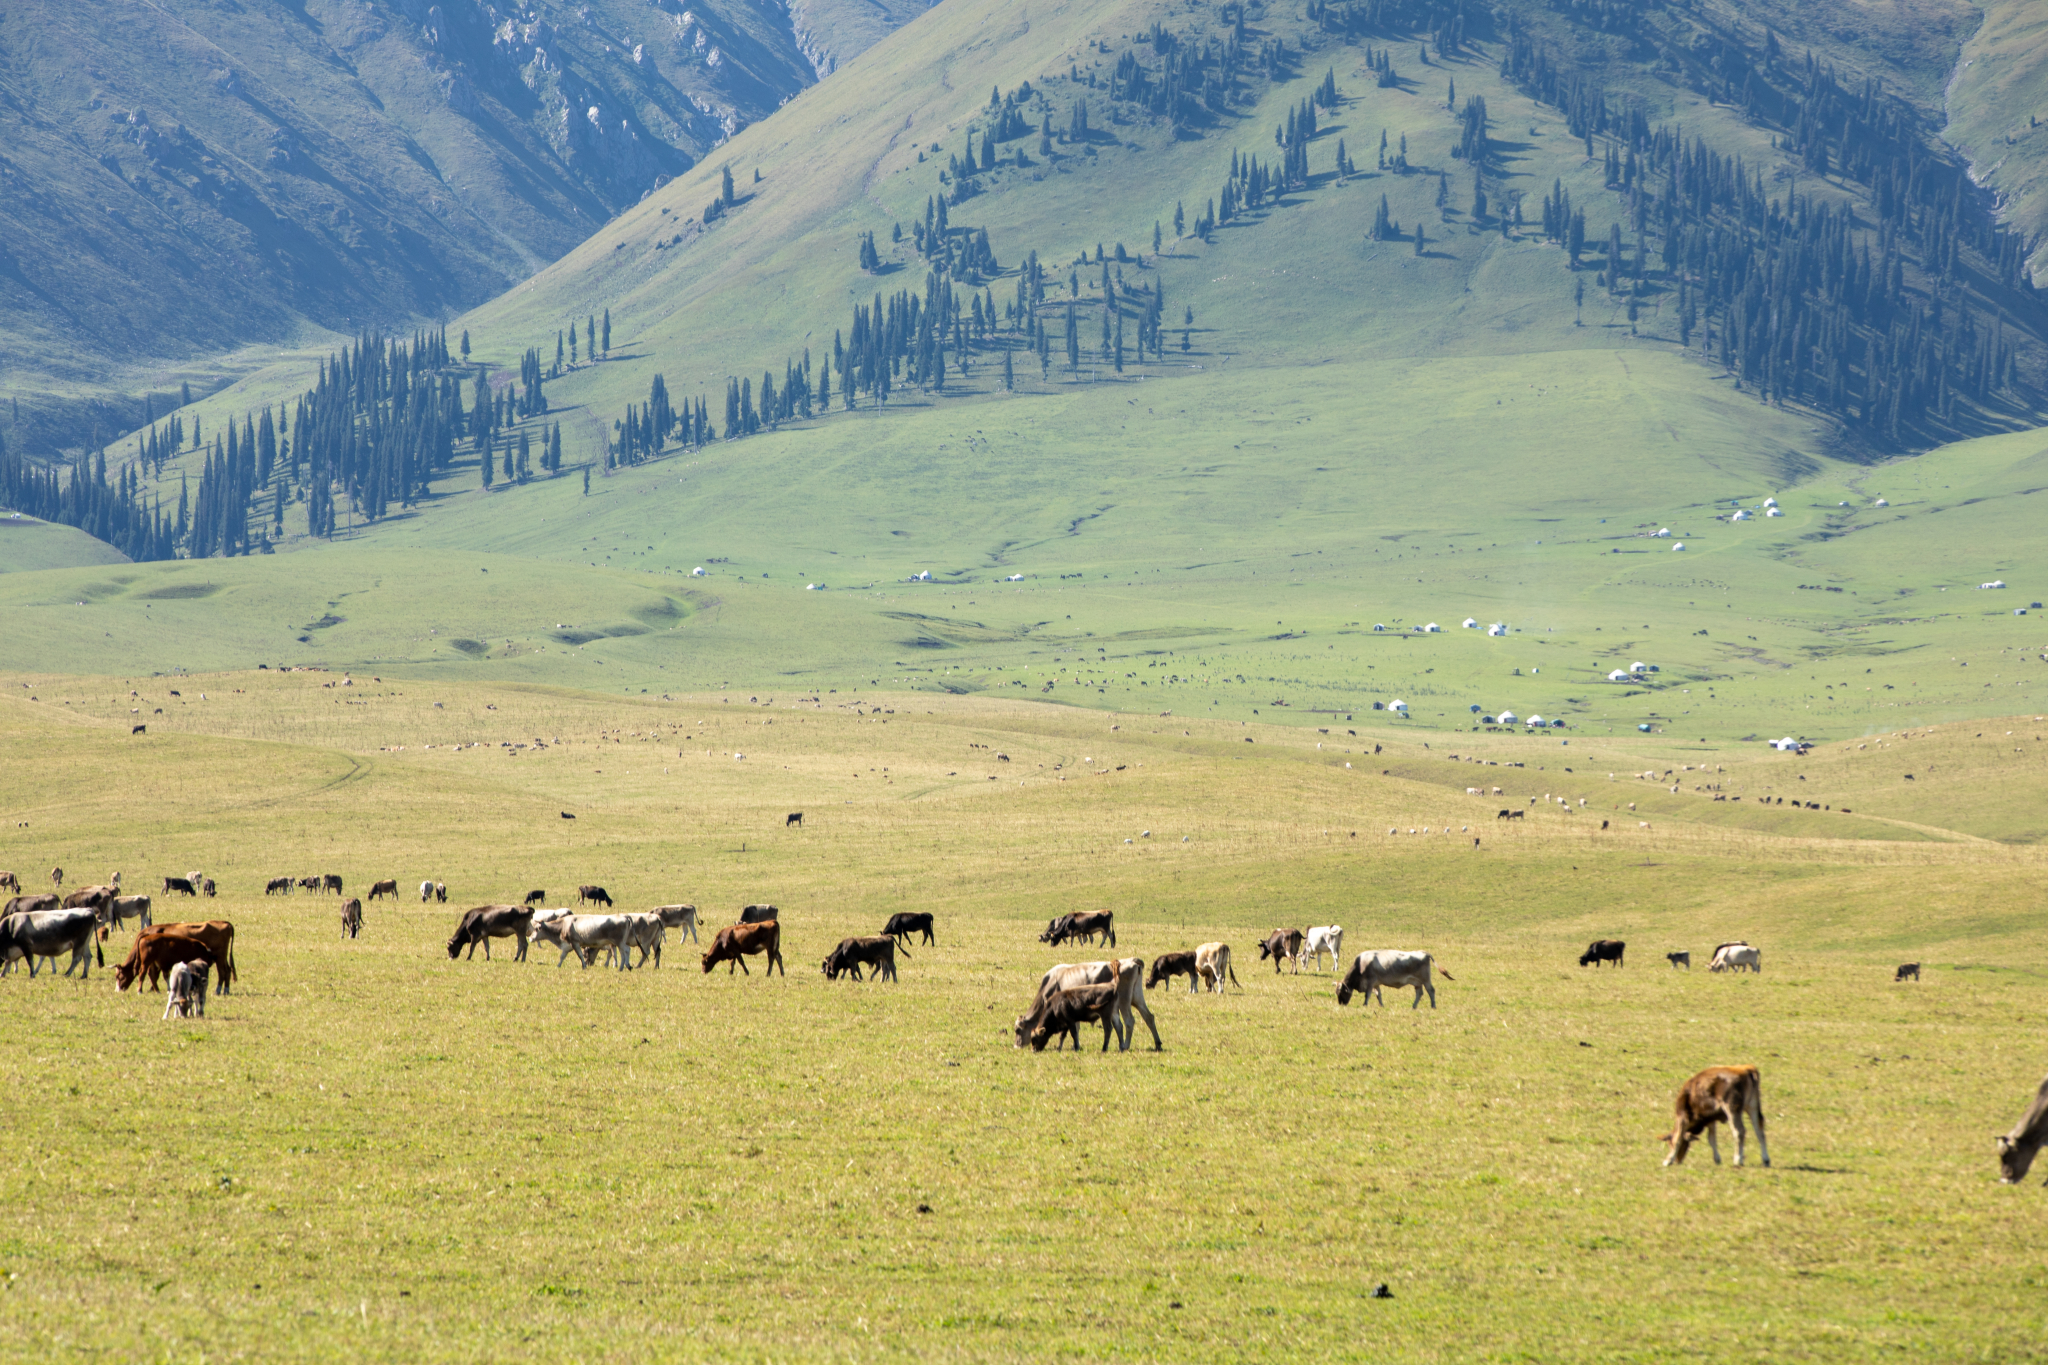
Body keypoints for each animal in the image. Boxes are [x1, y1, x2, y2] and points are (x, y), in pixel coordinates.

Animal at [1327, 957, 1458, 1010]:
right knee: (1419, 993)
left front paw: (1365, 1004)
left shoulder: (1370, 982)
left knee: (1431, 990)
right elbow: (1378, 994)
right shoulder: (1376, 983)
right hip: (1417, 982)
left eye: (1340, 992)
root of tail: (1424, 953)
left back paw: (1433, 1006)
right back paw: (1414, 1006)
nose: (1341, 1004)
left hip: (1425, 980)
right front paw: (1381, 1005)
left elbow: (1368, 995)